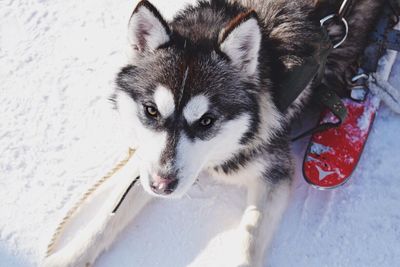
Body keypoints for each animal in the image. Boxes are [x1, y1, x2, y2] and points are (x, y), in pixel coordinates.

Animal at [111, 0, 382, 266]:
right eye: (151, 110)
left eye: (206, 121)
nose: (161, 185)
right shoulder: (147, 158)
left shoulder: (276, 171)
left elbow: (249, 240)